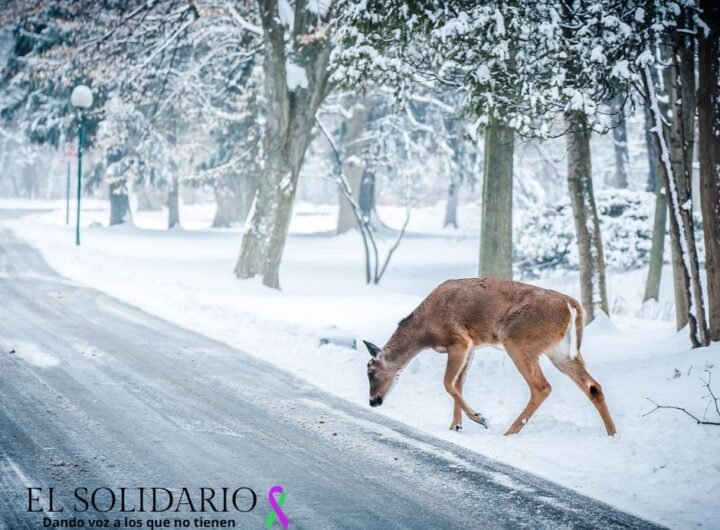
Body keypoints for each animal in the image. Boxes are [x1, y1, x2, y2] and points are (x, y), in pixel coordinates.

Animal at [362, 276, 616, 434]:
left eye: (370, 372)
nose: (373, 402)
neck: (425, 331)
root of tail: (571, 304)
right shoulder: (472, 346)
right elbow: (459, 384)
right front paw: (456, 426)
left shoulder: (459, 340)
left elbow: (448, 383)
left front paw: (479, 418)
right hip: (560, 351)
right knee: (593, 386)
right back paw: (612, 433)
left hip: (517, 339)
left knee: (541, 386)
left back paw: (509, 432)